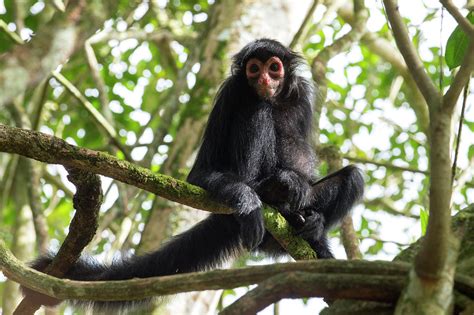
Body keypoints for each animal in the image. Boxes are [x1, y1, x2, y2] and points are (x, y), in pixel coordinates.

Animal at [24, 38, 364, 310]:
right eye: (254, 69)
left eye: (274, 67)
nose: (265, 79)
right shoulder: (231, 93)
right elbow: (200, 173)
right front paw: (248, 200)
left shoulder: (300, 93)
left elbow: (306, 159)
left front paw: (300, 191)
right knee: (256, 108)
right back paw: (265, 194)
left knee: (353, 178)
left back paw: (308, 228)